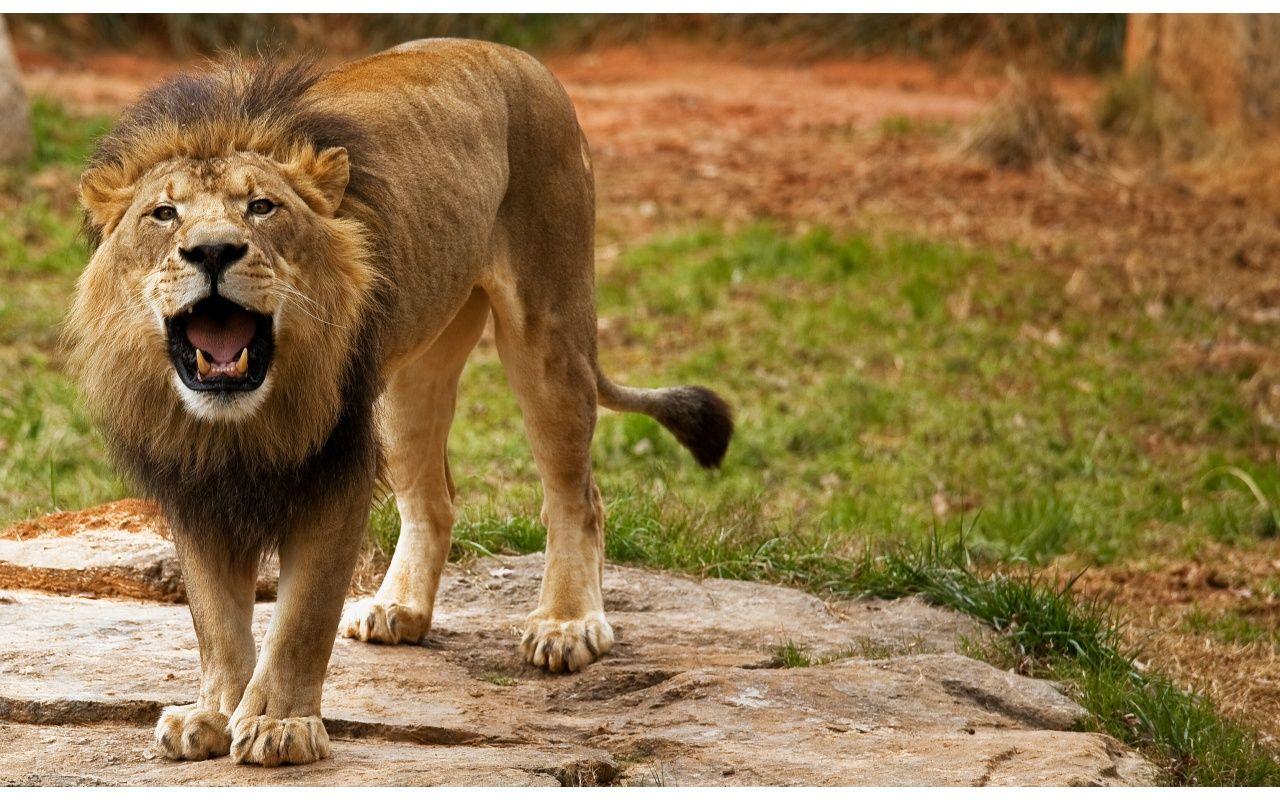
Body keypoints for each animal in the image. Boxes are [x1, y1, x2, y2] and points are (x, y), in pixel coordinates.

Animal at [67, 39, 733, 767]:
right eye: (164, 214)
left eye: (263, 207)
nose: (212, 249)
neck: (238, 419)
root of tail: (515, 55)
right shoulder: (193, 479)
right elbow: (215, 617)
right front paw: (212, 713)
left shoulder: (335, 468)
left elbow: (301, 616)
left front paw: (279, 724)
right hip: (409, 379)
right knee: (434, 500)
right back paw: (400, 610)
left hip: (549, 329)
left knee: (576, 495)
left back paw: (566, 623)